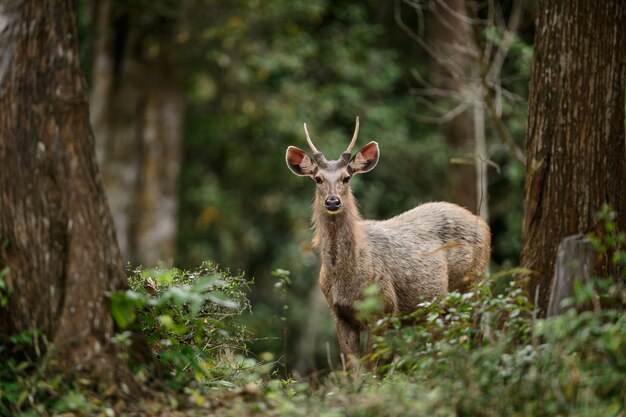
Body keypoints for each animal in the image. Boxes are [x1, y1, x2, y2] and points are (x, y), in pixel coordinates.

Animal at [286, 117, 490, 368]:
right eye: (318, 178)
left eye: (346, 177)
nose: (332, 202)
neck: (346, 279)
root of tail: (484, 225)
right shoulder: (339, 314)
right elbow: (351, 369)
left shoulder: (384, 309)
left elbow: (371, 368)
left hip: (472, 285)